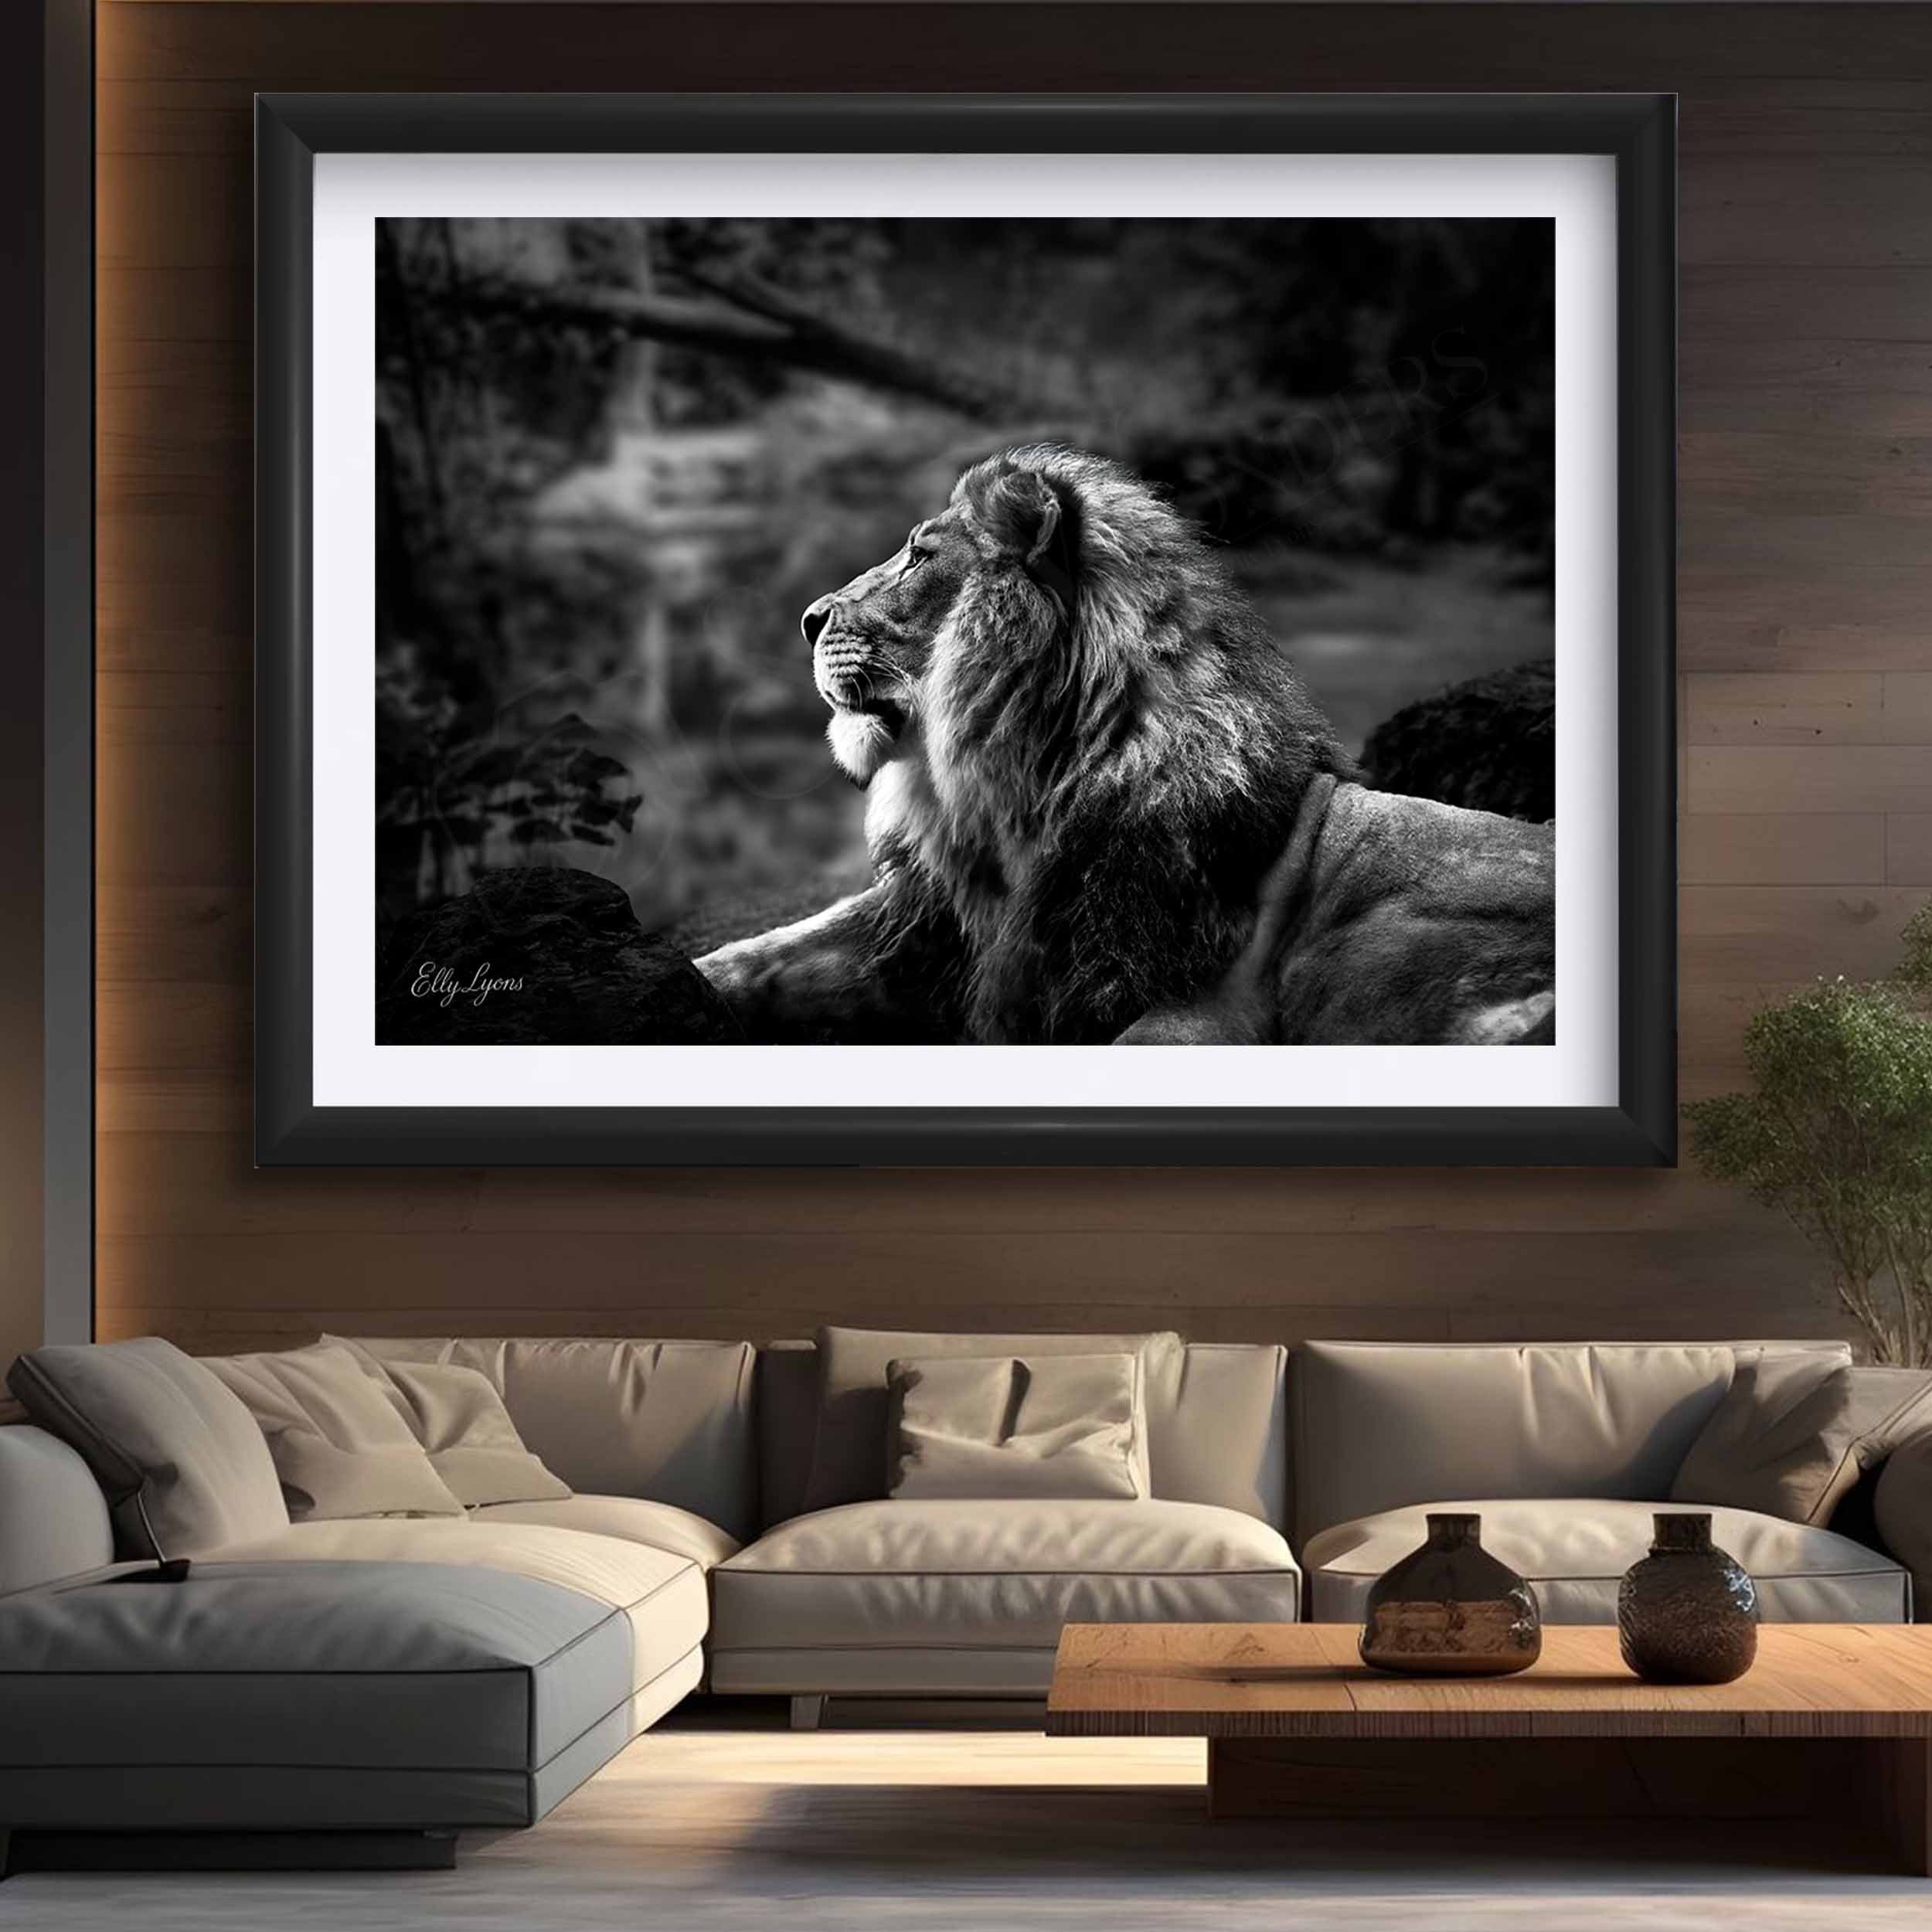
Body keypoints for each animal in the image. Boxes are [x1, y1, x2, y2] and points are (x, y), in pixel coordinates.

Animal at [696, 445, 1554, 1047]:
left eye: (920, 557)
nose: (807, 619)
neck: (1021, 797)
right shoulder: (940, 931)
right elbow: (773, 952)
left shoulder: (1204, 1008)